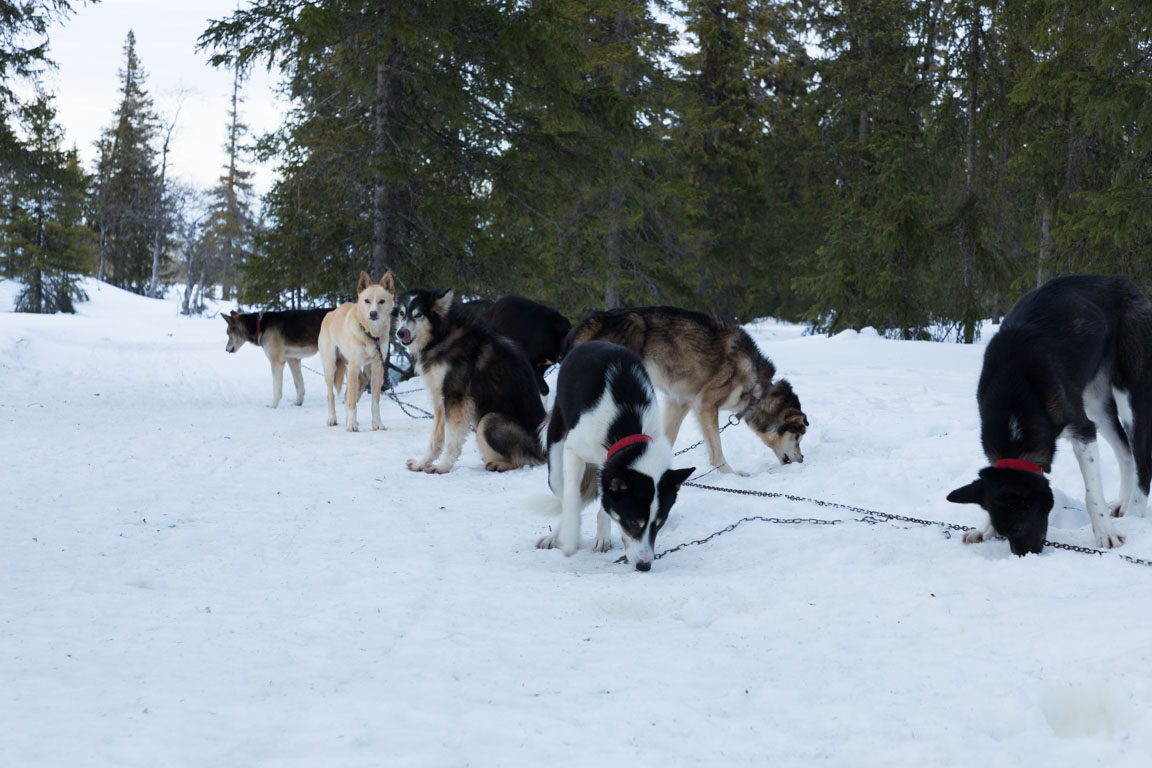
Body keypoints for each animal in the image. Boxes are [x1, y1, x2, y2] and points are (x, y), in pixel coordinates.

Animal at [317, 271, 398, 432]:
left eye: (381, 301)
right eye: (366, 301)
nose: (373, 313)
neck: (371, 335)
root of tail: (330, 313)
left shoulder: (377, 367)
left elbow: (375, 402)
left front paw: (377, 424)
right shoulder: (354, 366)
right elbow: (352, 402)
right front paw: (351, 426)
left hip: (358, 370)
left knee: (352, 391)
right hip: (331, 367)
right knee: (331, 395)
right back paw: (332, 419)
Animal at [393, 286, 546, 472]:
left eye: (418, 315)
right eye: (402, 313)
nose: (400, 333)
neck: (442, 336)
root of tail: (545, 450)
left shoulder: (456, 399)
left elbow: (451, 439)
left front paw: (442, 466)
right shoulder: (440, 400)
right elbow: (435, 440)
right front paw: (421, 463)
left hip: (489, 421)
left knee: (524, 460)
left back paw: (499, 464)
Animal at [536, 343, 691, 571]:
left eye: (660, 524)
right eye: (633, 522)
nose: (644, 566)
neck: (630, 434)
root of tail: (594, 343)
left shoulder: (609, 471)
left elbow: (605, 505)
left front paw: (602, 536)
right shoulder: (574, 450)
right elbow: (572, 498)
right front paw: (571, 539)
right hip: (556, 459)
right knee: (565, 495)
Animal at [569, 306, 811, 474]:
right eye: (798, 436)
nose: (803, 459)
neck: (759, 392)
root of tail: (593, 321)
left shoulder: (679, 403)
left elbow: (667, 440)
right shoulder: (705, 406)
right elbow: (717, 452)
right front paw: (732, 474)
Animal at [944, 275, 1152, 552]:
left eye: (1018, 528)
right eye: (1002, 533)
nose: (1025, 556)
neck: (1013, 385)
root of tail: (1122, 281)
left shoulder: (1083, 429)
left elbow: (1092, 494)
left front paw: (1105, 532)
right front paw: (983, 528)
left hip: (1128, 395)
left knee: (1141, 460)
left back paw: (1134, 514)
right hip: (1096, 406)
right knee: (1125, 453)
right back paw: (1122, 503)